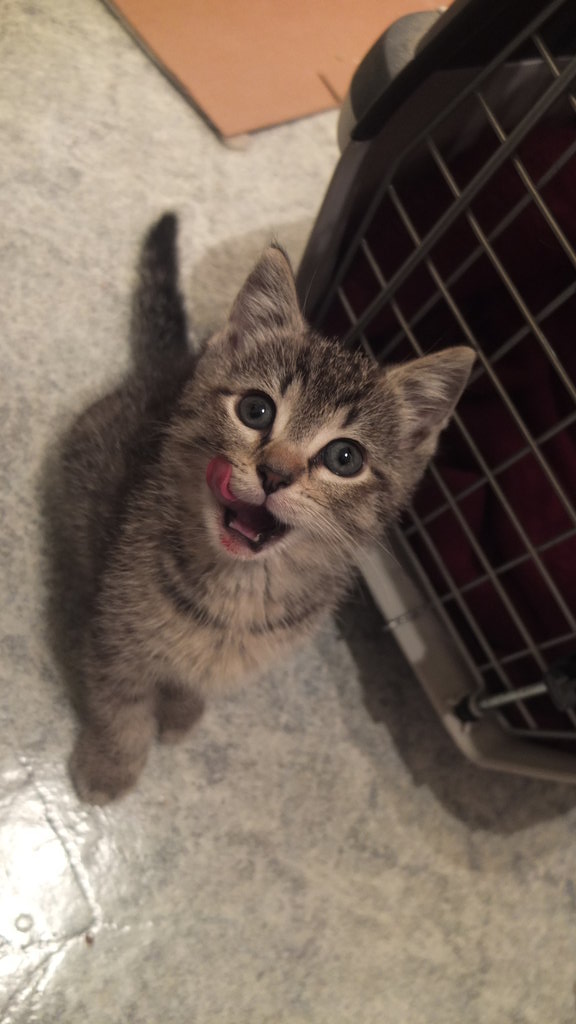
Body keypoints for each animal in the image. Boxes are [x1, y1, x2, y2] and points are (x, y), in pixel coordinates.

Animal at [60, 213, 474, 804]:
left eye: (345, 458)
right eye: (256, 410)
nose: (275, 473)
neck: (240, 592)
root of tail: (173, 364)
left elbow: (193, 679)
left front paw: (182, 710)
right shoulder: (118, 637)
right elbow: (119, 707)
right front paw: (110, 767)